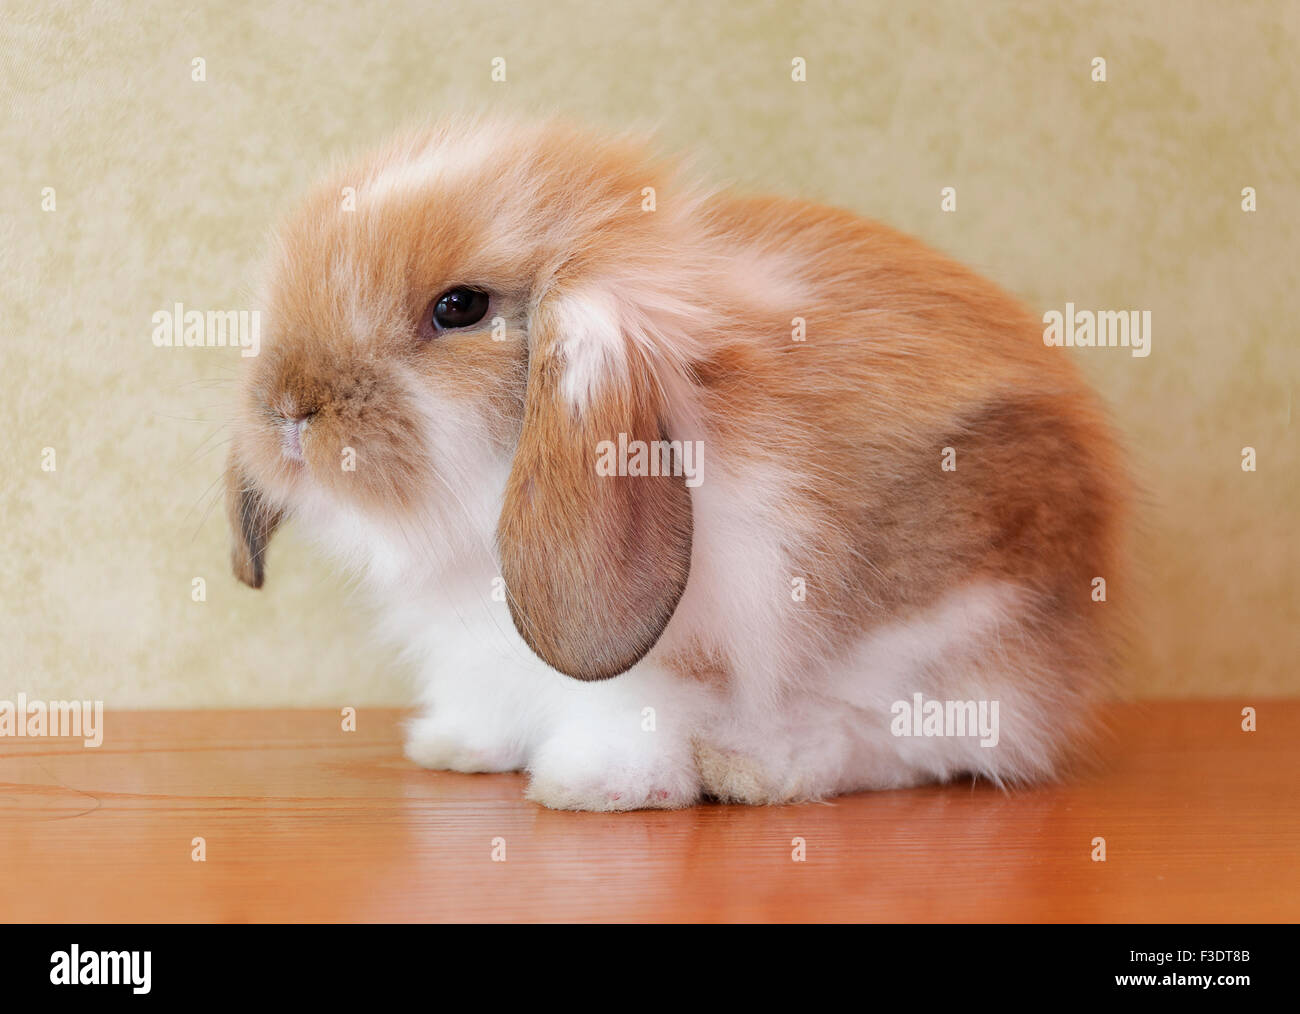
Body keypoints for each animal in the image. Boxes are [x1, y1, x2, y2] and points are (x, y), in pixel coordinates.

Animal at [225, 116, 1130, 811]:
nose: (289, 409)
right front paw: (457, 749)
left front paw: (591, 788)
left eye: (459, 307)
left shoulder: (665, 660)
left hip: (947, 619)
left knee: (929, 742)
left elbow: (635, 713)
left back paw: (757, 767)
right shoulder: (472, 648)